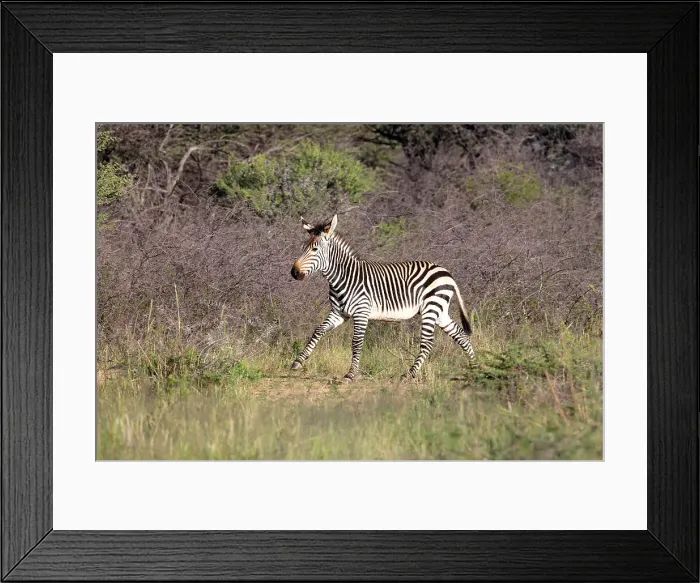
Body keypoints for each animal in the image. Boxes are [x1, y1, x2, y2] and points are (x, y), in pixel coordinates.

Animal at [290, 214, 476, 381]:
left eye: (314, 249)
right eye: (303, 248)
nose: (294, 273)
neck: (344, 278)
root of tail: (447, 273)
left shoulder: (361, 313)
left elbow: (356, 343)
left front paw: (351, 374)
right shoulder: (339, 313)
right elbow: (318, 331)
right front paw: (298, 361)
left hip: (431, 307)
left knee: (428, 342)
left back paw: (409, 374)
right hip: (440, 311)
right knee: (460, 334)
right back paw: (474, 367)